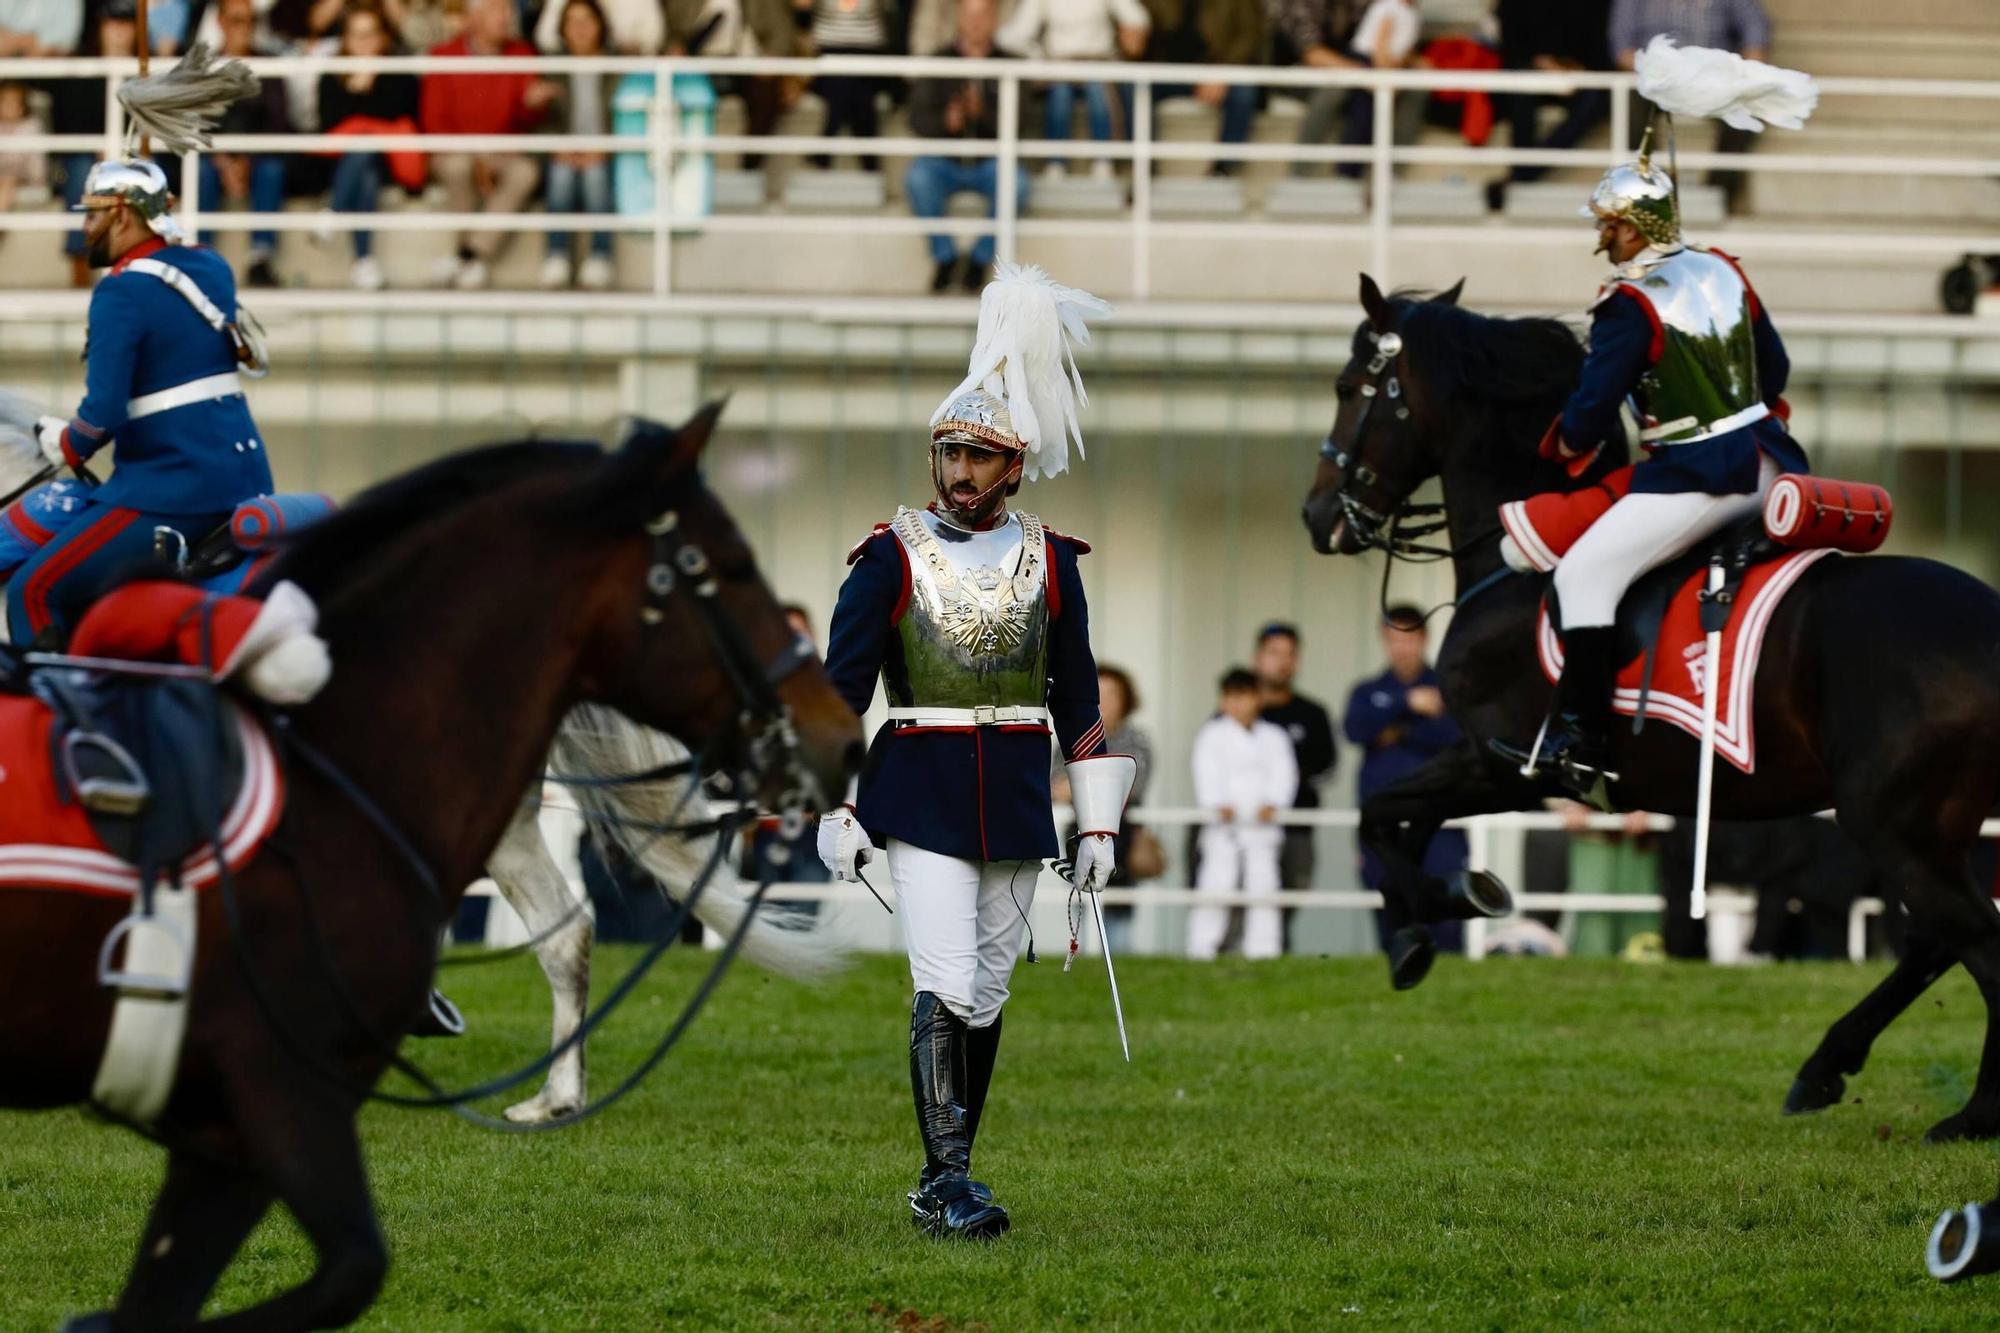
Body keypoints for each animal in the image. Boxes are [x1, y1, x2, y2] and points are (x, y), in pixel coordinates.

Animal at [1304, 272, 2000, 1144]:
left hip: (1894, 825)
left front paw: (1422, 926)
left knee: (1972, 939)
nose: (1317, 516)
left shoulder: (1511, 763)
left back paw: (1971, 1113)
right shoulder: (1491, 765)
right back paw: (1825, 1067)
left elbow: (1379, 815)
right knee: (1938, 939)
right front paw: (1441, 909)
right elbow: (1400, 822)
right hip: (1933, 829)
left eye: (1349, 388)